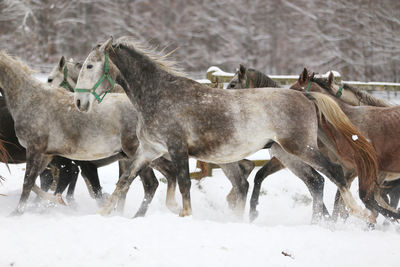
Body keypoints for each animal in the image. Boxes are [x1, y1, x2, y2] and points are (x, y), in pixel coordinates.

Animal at [73, 36, 382, 223]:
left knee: (334, 173)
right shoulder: (149, 150)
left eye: (89, 65)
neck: (160, 95)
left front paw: (185, 215)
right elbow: (125, 181)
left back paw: (359, 214)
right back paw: (321, 221)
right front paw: (103, 212)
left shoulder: (177, 148)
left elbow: (184, 183)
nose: (78, 102)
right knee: (315, 181)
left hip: (299, 148)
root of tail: (305, 97)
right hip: (286, 153)